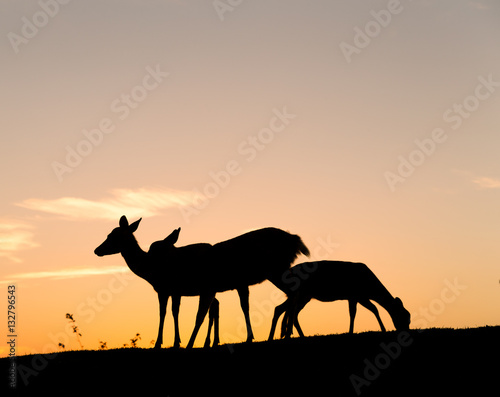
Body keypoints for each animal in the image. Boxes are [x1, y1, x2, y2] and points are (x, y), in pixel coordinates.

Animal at [94, 215, 308, 348]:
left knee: (295, 292)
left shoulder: (168, 289)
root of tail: (296, 240)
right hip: (272, 273)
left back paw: (287, 332)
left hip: (276, 270)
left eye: (112, 236)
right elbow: (175, 312)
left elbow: (172, 314)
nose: (97, 250)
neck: (150, 269)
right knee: (292, 293)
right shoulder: (178, 290)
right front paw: (176, 342)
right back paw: (283, 333)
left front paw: (169, 343)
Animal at [268, 260, 412, 340]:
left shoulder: (360, 296)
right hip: (299, 295)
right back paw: (275, 336)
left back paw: (297, 335)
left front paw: (382, 328)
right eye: (404, 316)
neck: (370, 288)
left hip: (304, 296)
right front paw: (352, 331)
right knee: (284, 310)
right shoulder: (356, 295)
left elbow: (372, 309)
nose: (407, 331)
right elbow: (356, 312)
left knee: (288, 311)